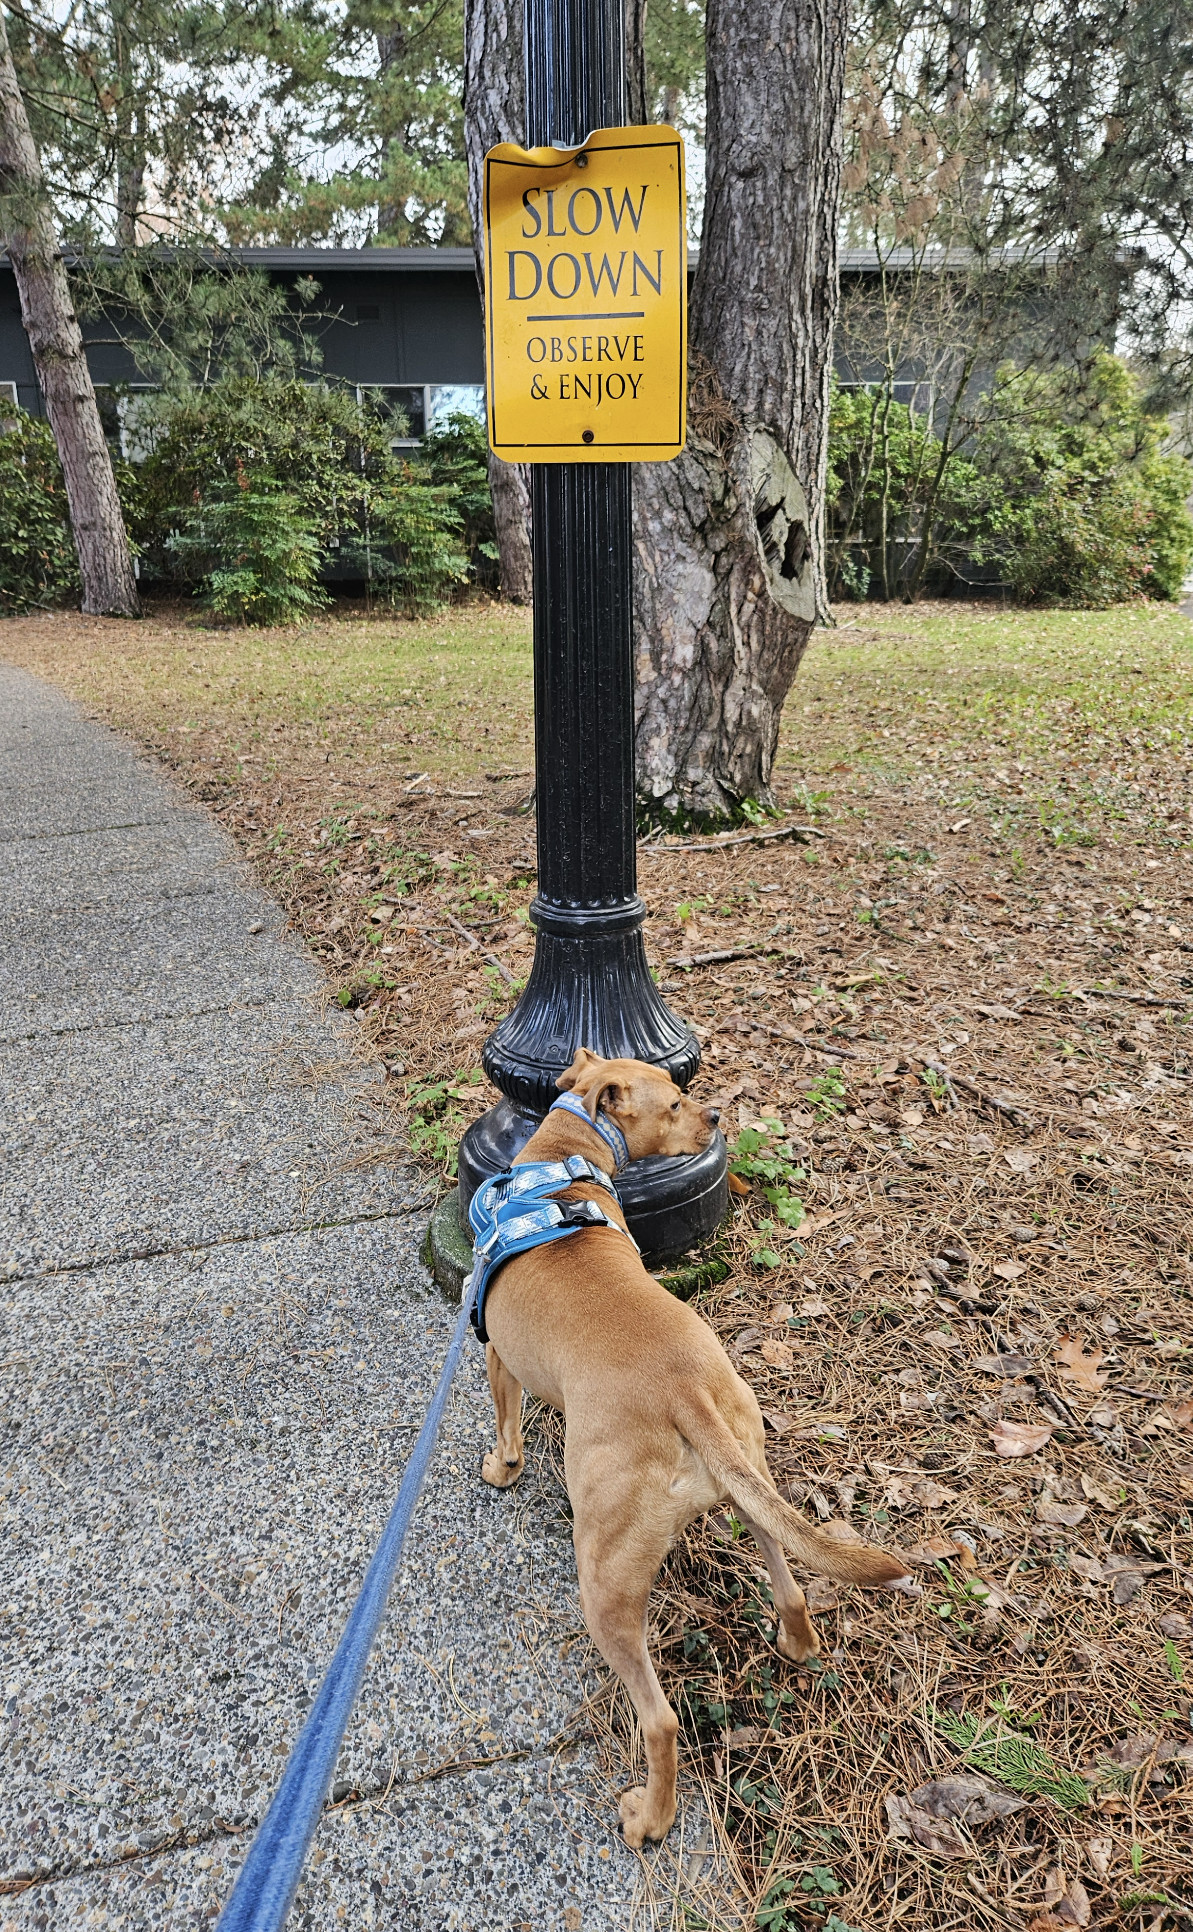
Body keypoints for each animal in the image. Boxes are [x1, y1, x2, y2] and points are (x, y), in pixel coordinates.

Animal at [473, 1051, 901, 1846]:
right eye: (673, 1102)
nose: (716, 1115)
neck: (561, 1160)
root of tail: (682, 1394)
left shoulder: (494, 1355)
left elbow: (505, 1419)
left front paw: (501, 1468)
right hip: (752, 1478)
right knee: (790, 1581)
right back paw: (797, 1644)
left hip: (604, 1581)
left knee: (661, 1719)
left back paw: (649, 1816)